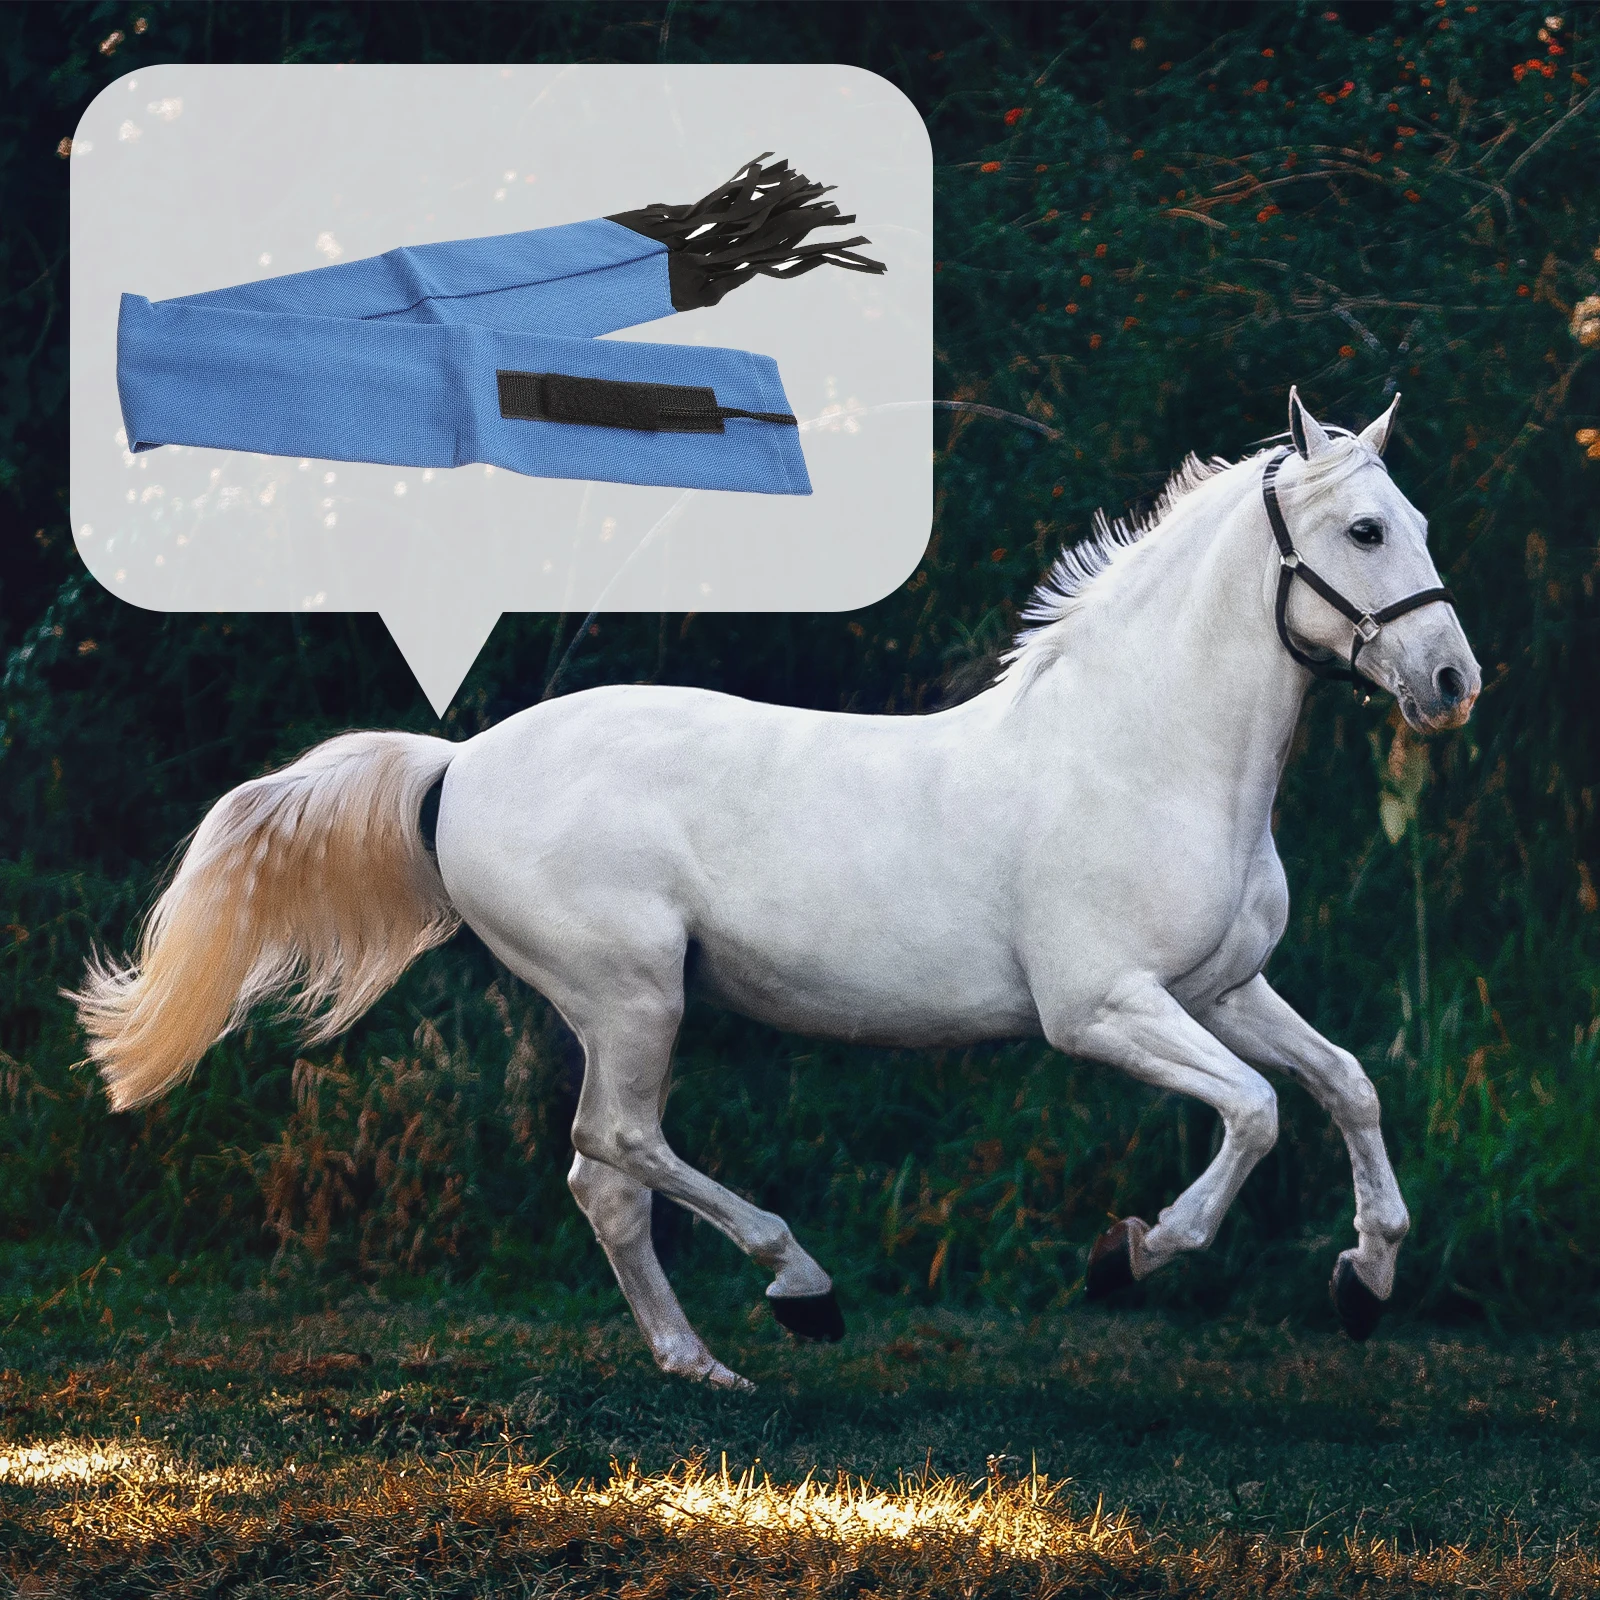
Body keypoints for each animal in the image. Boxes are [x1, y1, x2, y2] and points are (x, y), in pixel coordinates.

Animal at [74, 388, 1479, 1391]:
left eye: (1417, 525)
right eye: (1364, 530)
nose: (1452, 682)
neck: (1143, 752)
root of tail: (459, 762)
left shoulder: (1224, 987)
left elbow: (1344, 1083)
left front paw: (1364, 1279)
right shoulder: (1103, 1009)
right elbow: (1254, 1113)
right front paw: (1128, 1255)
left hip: (625, 1007)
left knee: (602, 1179)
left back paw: (701, 1363)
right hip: (632, 994)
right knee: (617, 1147)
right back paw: (799, 1288)